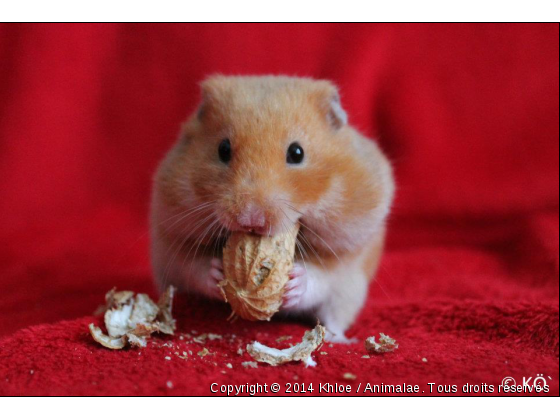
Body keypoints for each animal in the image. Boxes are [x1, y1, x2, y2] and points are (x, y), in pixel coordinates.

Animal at [149, 75, 394, 342]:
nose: (250, 219)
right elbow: (195, 268)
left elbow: (319, 278)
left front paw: (294, 282)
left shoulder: (345, 259)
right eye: (223, 149)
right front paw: (217, 273)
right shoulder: (172, 238)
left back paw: (336, 339)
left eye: (297, 153)